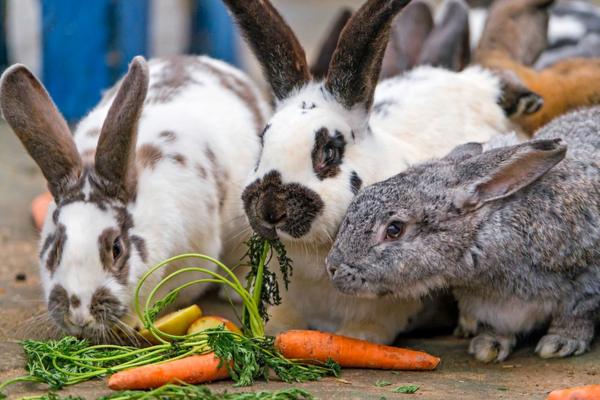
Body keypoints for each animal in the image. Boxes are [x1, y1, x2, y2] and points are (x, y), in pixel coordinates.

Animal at [326, 106, 600, 362]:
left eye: (394, 230)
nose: (332, 267)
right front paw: (488, 346)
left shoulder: (584, 283)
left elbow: (576, 314)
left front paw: (560, 344)